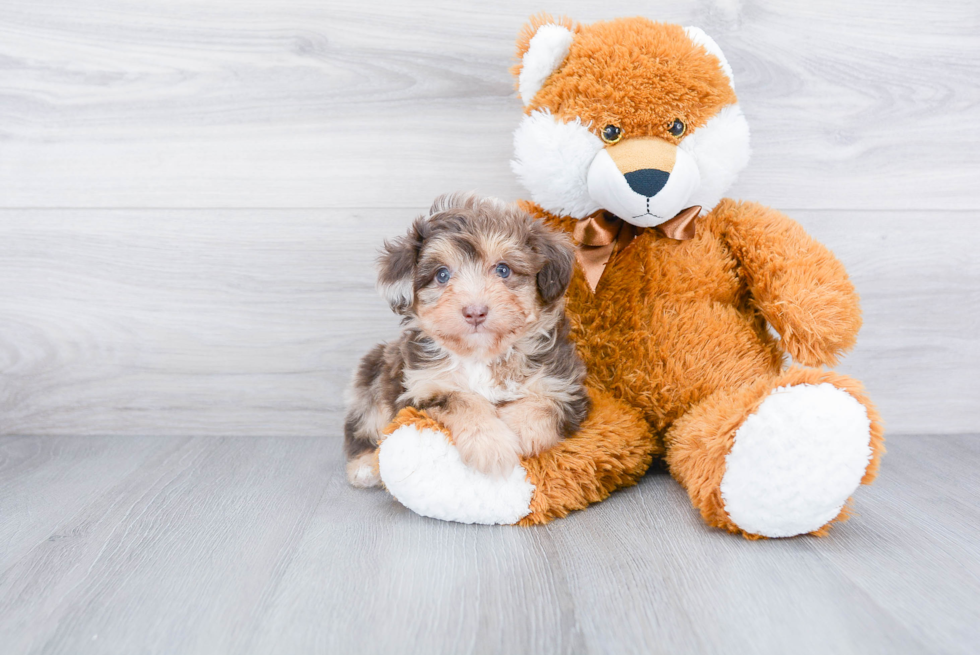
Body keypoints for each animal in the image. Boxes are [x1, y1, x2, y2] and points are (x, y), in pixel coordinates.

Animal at [344, 192, 588, 490]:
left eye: (503, 270)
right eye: (442, 274)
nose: (475, 311)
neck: (481, 355)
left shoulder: (565, 387)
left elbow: (544, 405)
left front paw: (515, 429)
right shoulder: (422, 388)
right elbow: (461, 399)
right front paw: (491, 444)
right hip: (373, 373)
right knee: (363, 426)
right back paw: (365, 465)